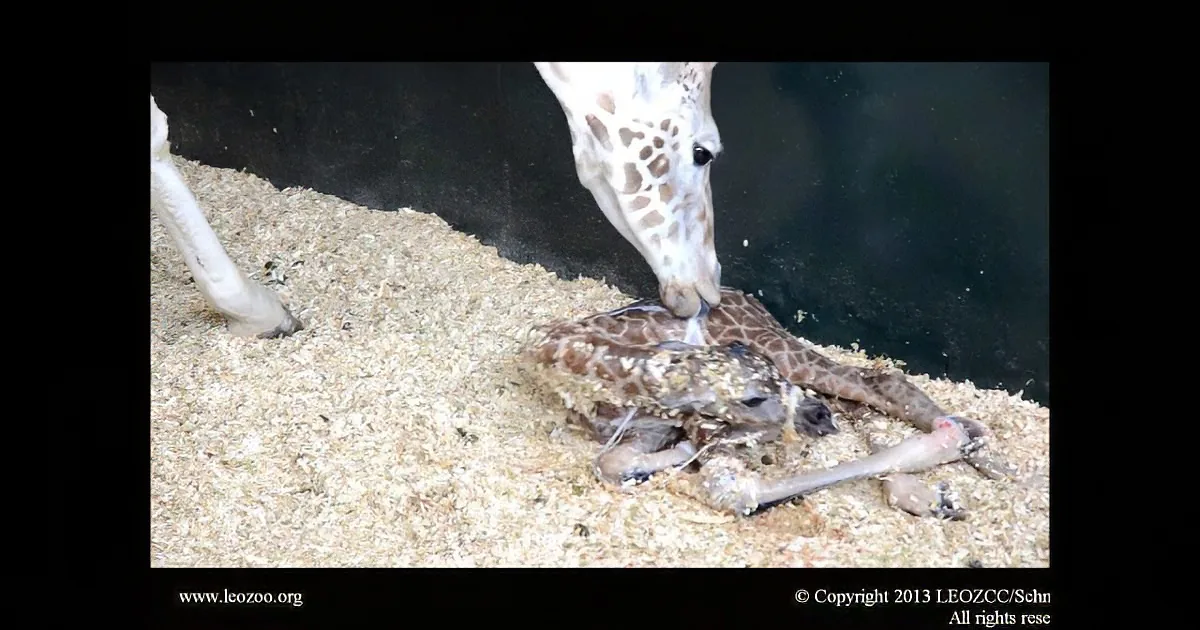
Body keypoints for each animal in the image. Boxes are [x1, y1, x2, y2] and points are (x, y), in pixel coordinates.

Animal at [522, 286, 1017, 518]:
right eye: (753, 396)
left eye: (763, 386)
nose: (818, 419)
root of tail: (746, 298)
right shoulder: (667, 429)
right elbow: (614, 463)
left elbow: (734, 490)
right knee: (864, 396)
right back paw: (939, 480)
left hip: (787, 352)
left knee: (876, 379)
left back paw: (995, 463)